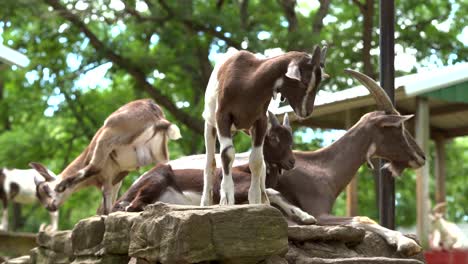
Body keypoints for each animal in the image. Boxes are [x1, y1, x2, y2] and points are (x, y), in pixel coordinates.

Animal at [28, 99, 180, 217]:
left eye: (45, 189)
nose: (49, 207)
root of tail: (155, 115)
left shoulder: (107, 173)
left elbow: (104, 199)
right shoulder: (116, 178)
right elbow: (107, 201)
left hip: (108, 136)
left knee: (93, 167)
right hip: (159, 151)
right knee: (167, 166)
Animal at [111, 69, 426, 256]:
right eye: (397, 127)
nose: (420, 156)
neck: (322, 169)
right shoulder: (322, 212)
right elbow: (362, 218)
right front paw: (406, 242)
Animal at [202, 46, 330, 206]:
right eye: (303, 82)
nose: (307, 111)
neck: (247, 80)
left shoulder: (260, 120)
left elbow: (257, 160)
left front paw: (256, 199)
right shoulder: (222, 117)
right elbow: (227, 154)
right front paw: (226, 198)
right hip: (210, 123)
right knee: (210, 162)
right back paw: (206, 201)